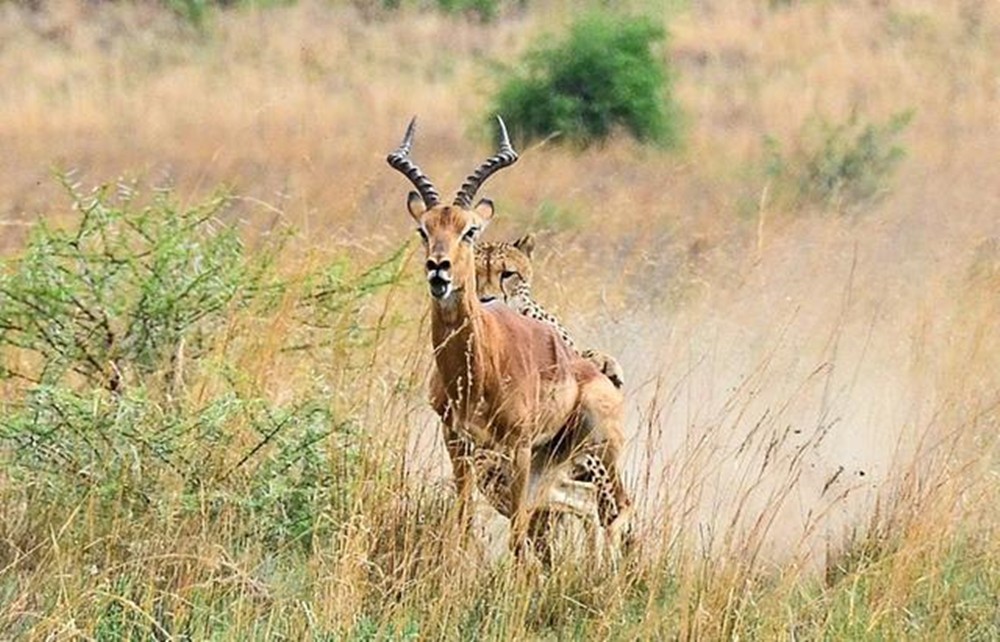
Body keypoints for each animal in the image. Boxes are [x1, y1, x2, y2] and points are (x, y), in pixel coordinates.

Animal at [384, 116, 632, 556]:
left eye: (469, 230)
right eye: (422, 229)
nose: (438, 269)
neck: (476, 372)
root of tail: (604, 376)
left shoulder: (516, 447)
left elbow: (517, 532)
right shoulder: (457, 441)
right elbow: (464, 520)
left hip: (584, 453)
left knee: (615, 510)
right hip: (546, 465)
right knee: (584, 505)